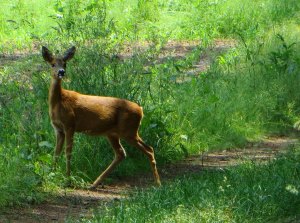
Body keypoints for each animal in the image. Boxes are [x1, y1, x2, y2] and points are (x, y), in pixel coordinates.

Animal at [42, 46, 162, 189]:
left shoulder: (70, 124)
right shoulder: (58, 129)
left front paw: (67, 180)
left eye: (65, 64)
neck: (58, 102)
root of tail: (141, 110)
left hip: (129, 130)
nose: (61, 72)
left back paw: (158, 183)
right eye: (52, 64)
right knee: (121, 153)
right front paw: (50, 176)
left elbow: (68, 152)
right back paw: (94, 184)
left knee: (149, 149)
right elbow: (56, 153)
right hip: (113, 133)